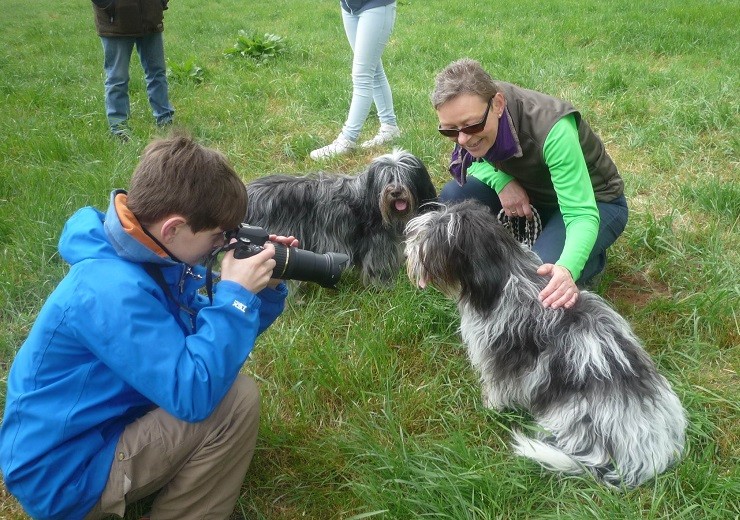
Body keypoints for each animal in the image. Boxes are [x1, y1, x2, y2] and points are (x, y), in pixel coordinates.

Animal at [246, 148, 436, 286]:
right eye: (387, 179)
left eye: (404, 177)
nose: (396, 191)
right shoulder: (377, 245)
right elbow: (378, 268)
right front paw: (385, 287)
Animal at [404, 199, 688, 488]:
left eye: (435, 238)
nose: (408, 249)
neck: (508, 275)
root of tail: (645, 458)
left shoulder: (499, 356)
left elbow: (496, 386)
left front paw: (491, 407)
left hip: (569, 416)